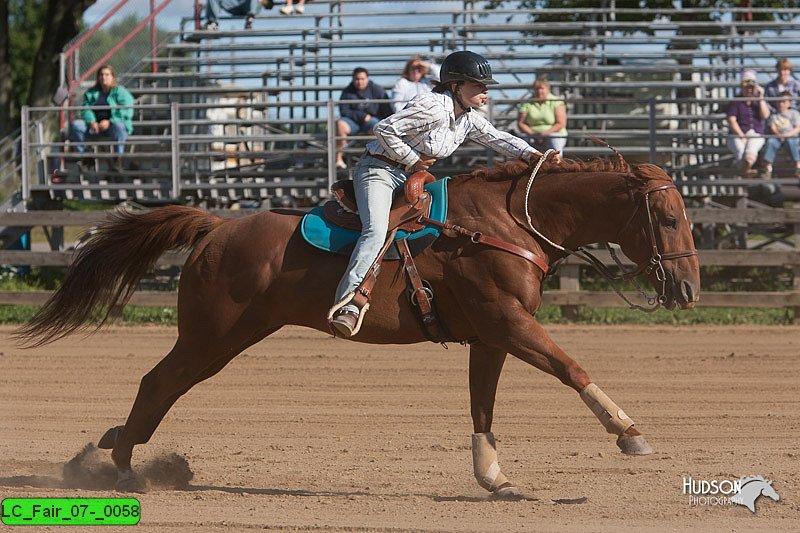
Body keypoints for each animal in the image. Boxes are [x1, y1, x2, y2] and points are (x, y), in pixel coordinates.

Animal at [15, 155, 696, 494]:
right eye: (666, 219)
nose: (688, 289)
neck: (502, 225)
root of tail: (217, 226)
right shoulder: (508, 323)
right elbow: (571, 367)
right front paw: (630, 433)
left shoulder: (490, 336)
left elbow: (482, 406)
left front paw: (494, 478)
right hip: (210, 335)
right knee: (157, 384)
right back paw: (123, 468)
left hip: (224, 339)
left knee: (163, 386)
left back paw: (115, 450)